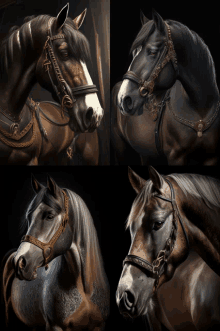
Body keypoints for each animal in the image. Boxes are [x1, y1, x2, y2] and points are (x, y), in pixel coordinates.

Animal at [1, 175, 109, 330]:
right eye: (29, 217)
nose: (20, 262)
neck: (85, 290)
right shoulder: (55, 326)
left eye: (49, 216)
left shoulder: (99, 325)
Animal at [111, 9, 220, 165]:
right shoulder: (176, 157)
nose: (123, 99)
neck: (200, 111)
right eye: (134, 53)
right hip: (120, 147)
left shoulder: (211, 157)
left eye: (152, 52)